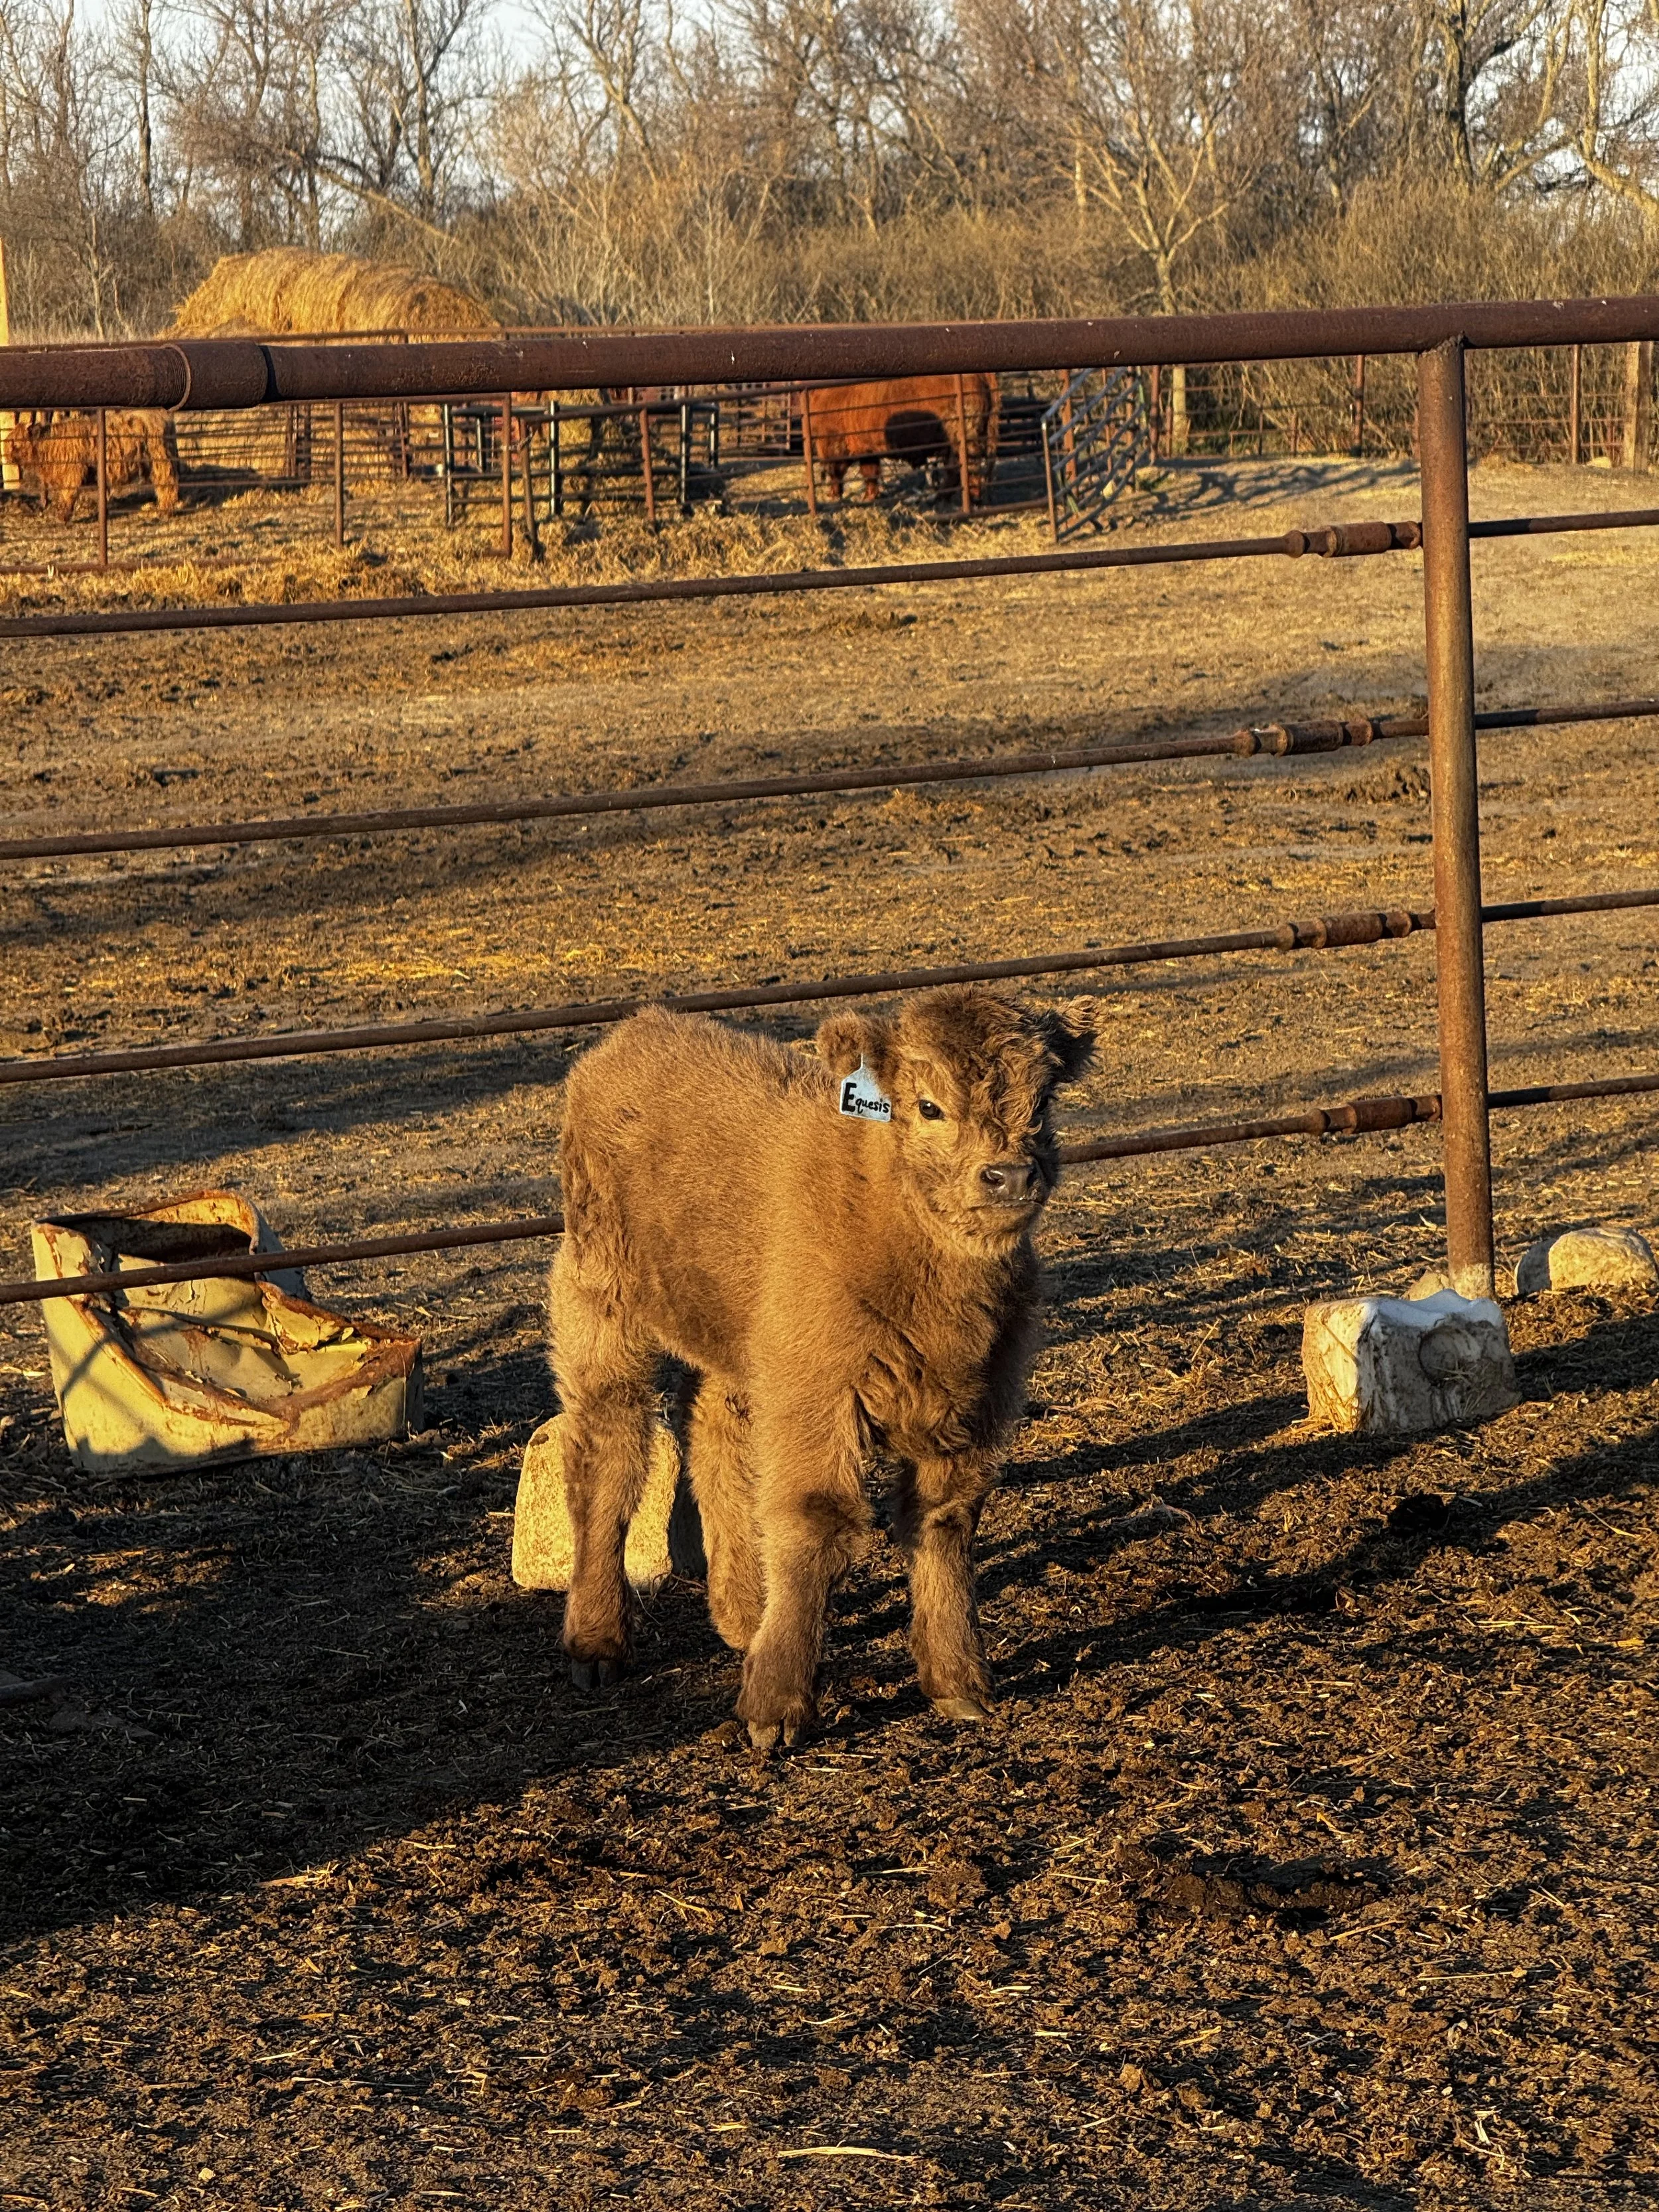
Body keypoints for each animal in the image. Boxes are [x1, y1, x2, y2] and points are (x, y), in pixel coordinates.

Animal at [6, 409, 181, 522]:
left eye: (16, 441)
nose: (6, 454)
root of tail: (163, 415)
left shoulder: (72, 473)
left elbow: (68, 495)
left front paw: (63, 517)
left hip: (160, 459)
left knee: (167, 483)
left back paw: (165, 511)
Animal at [548, 985, 1095, 1749]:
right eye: (927, 1106)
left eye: (1042, 1101)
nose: (1009, 1174)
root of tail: (635, 1031)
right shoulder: (817, 1392)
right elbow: (815, 1520)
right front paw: (775, 1706)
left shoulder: (977, 1400)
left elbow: (945, 1523)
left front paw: (957, 1681)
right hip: (602, 1300)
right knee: (607, 1449)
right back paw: (597, 1641)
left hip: (737, 1343)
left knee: (715, 1437)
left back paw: (744, 1613)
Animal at [804, 373, 999, 505]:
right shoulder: (867, 449)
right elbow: (870, 473)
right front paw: (870, 496)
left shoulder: (835, 443)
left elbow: (840, 471)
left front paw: (838, 495)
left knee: (965, 468)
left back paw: (959, 498)